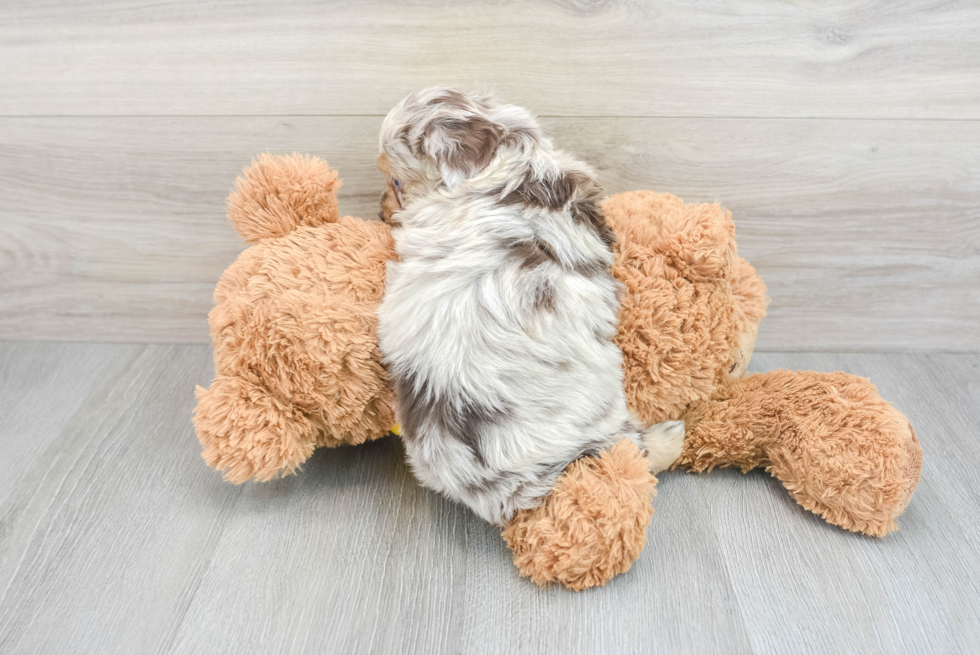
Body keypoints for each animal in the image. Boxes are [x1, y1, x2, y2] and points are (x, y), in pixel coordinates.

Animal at [376, 88, 680, 528]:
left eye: (396, 180)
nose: (379, 211)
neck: (501, 166)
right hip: (602, 415)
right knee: (627, 449)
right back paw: (670, 439)